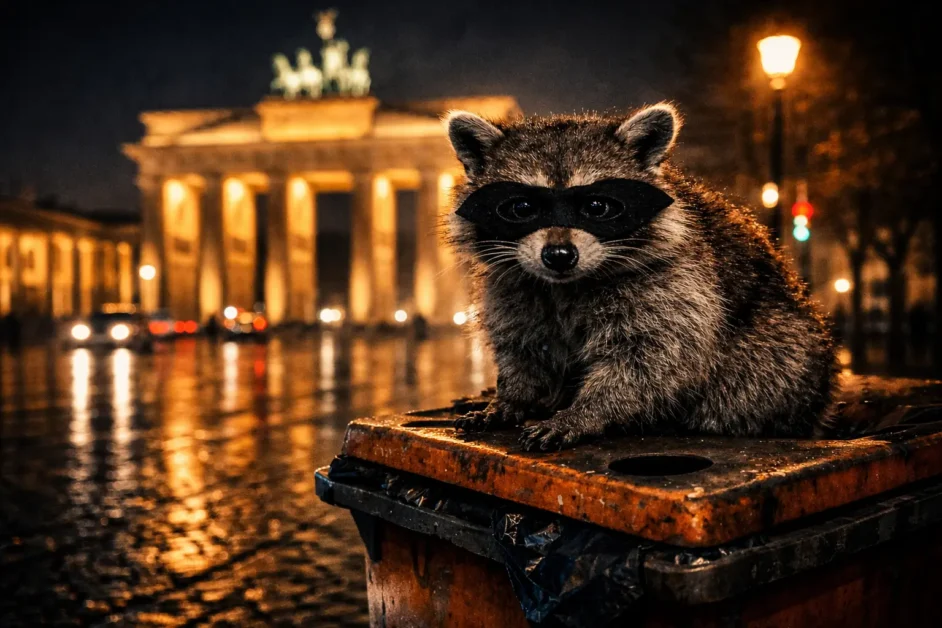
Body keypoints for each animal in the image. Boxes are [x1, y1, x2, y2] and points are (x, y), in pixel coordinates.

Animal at [444, 103, 837, 451]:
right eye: (522, 207)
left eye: (597, 206)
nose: (559, 256)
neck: (567, 286)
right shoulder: (514, 288)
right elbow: (523, 347)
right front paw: (513, 396)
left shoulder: (678, 285)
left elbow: (652, 358)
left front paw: (587, 411)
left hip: (783, 354)